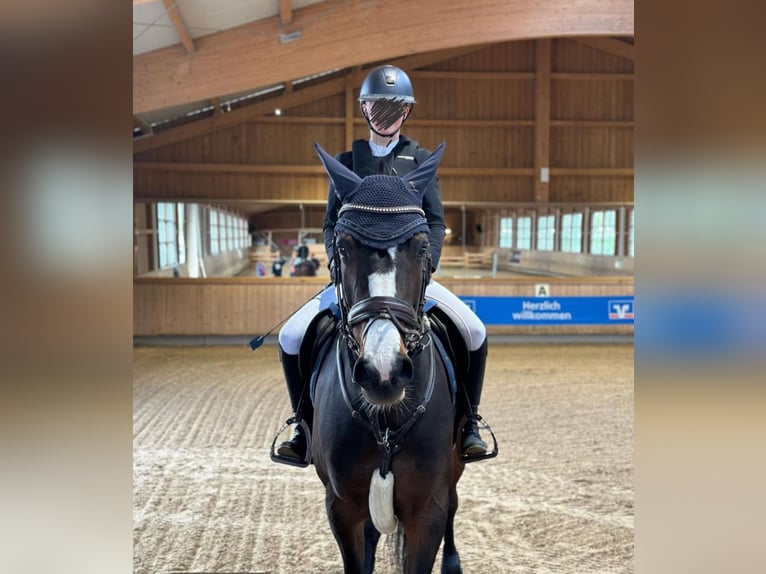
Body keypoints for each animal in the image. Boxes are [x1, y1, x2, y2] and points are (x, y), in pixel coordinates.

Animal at [308, 142, 464, 572]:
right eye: (343, 248)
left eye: (422, 247)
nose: (384, 373)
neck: (385, 426)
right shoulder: (341, 508)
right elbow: (358, 556)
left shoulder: (427, 511)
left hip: (456, 466)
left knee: (456, 503)